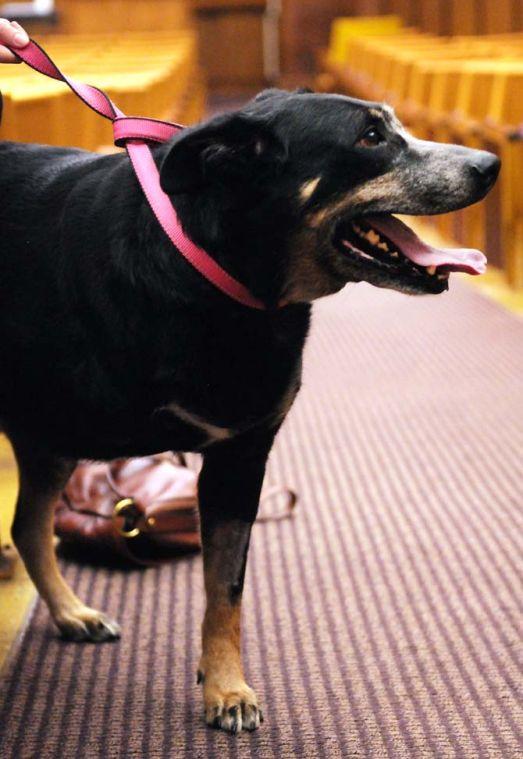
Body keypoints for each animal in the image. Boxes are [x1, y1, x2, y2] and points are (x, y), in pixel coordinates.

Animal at [0, 90, 500, 736]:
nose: (491, 164)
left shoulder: (241, 457)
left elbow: (226, 592)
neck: (216, 275)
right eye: (369, 136)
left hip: (52, 434)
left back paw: (69, 612)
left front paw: (224, 686)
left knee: (28, 525)